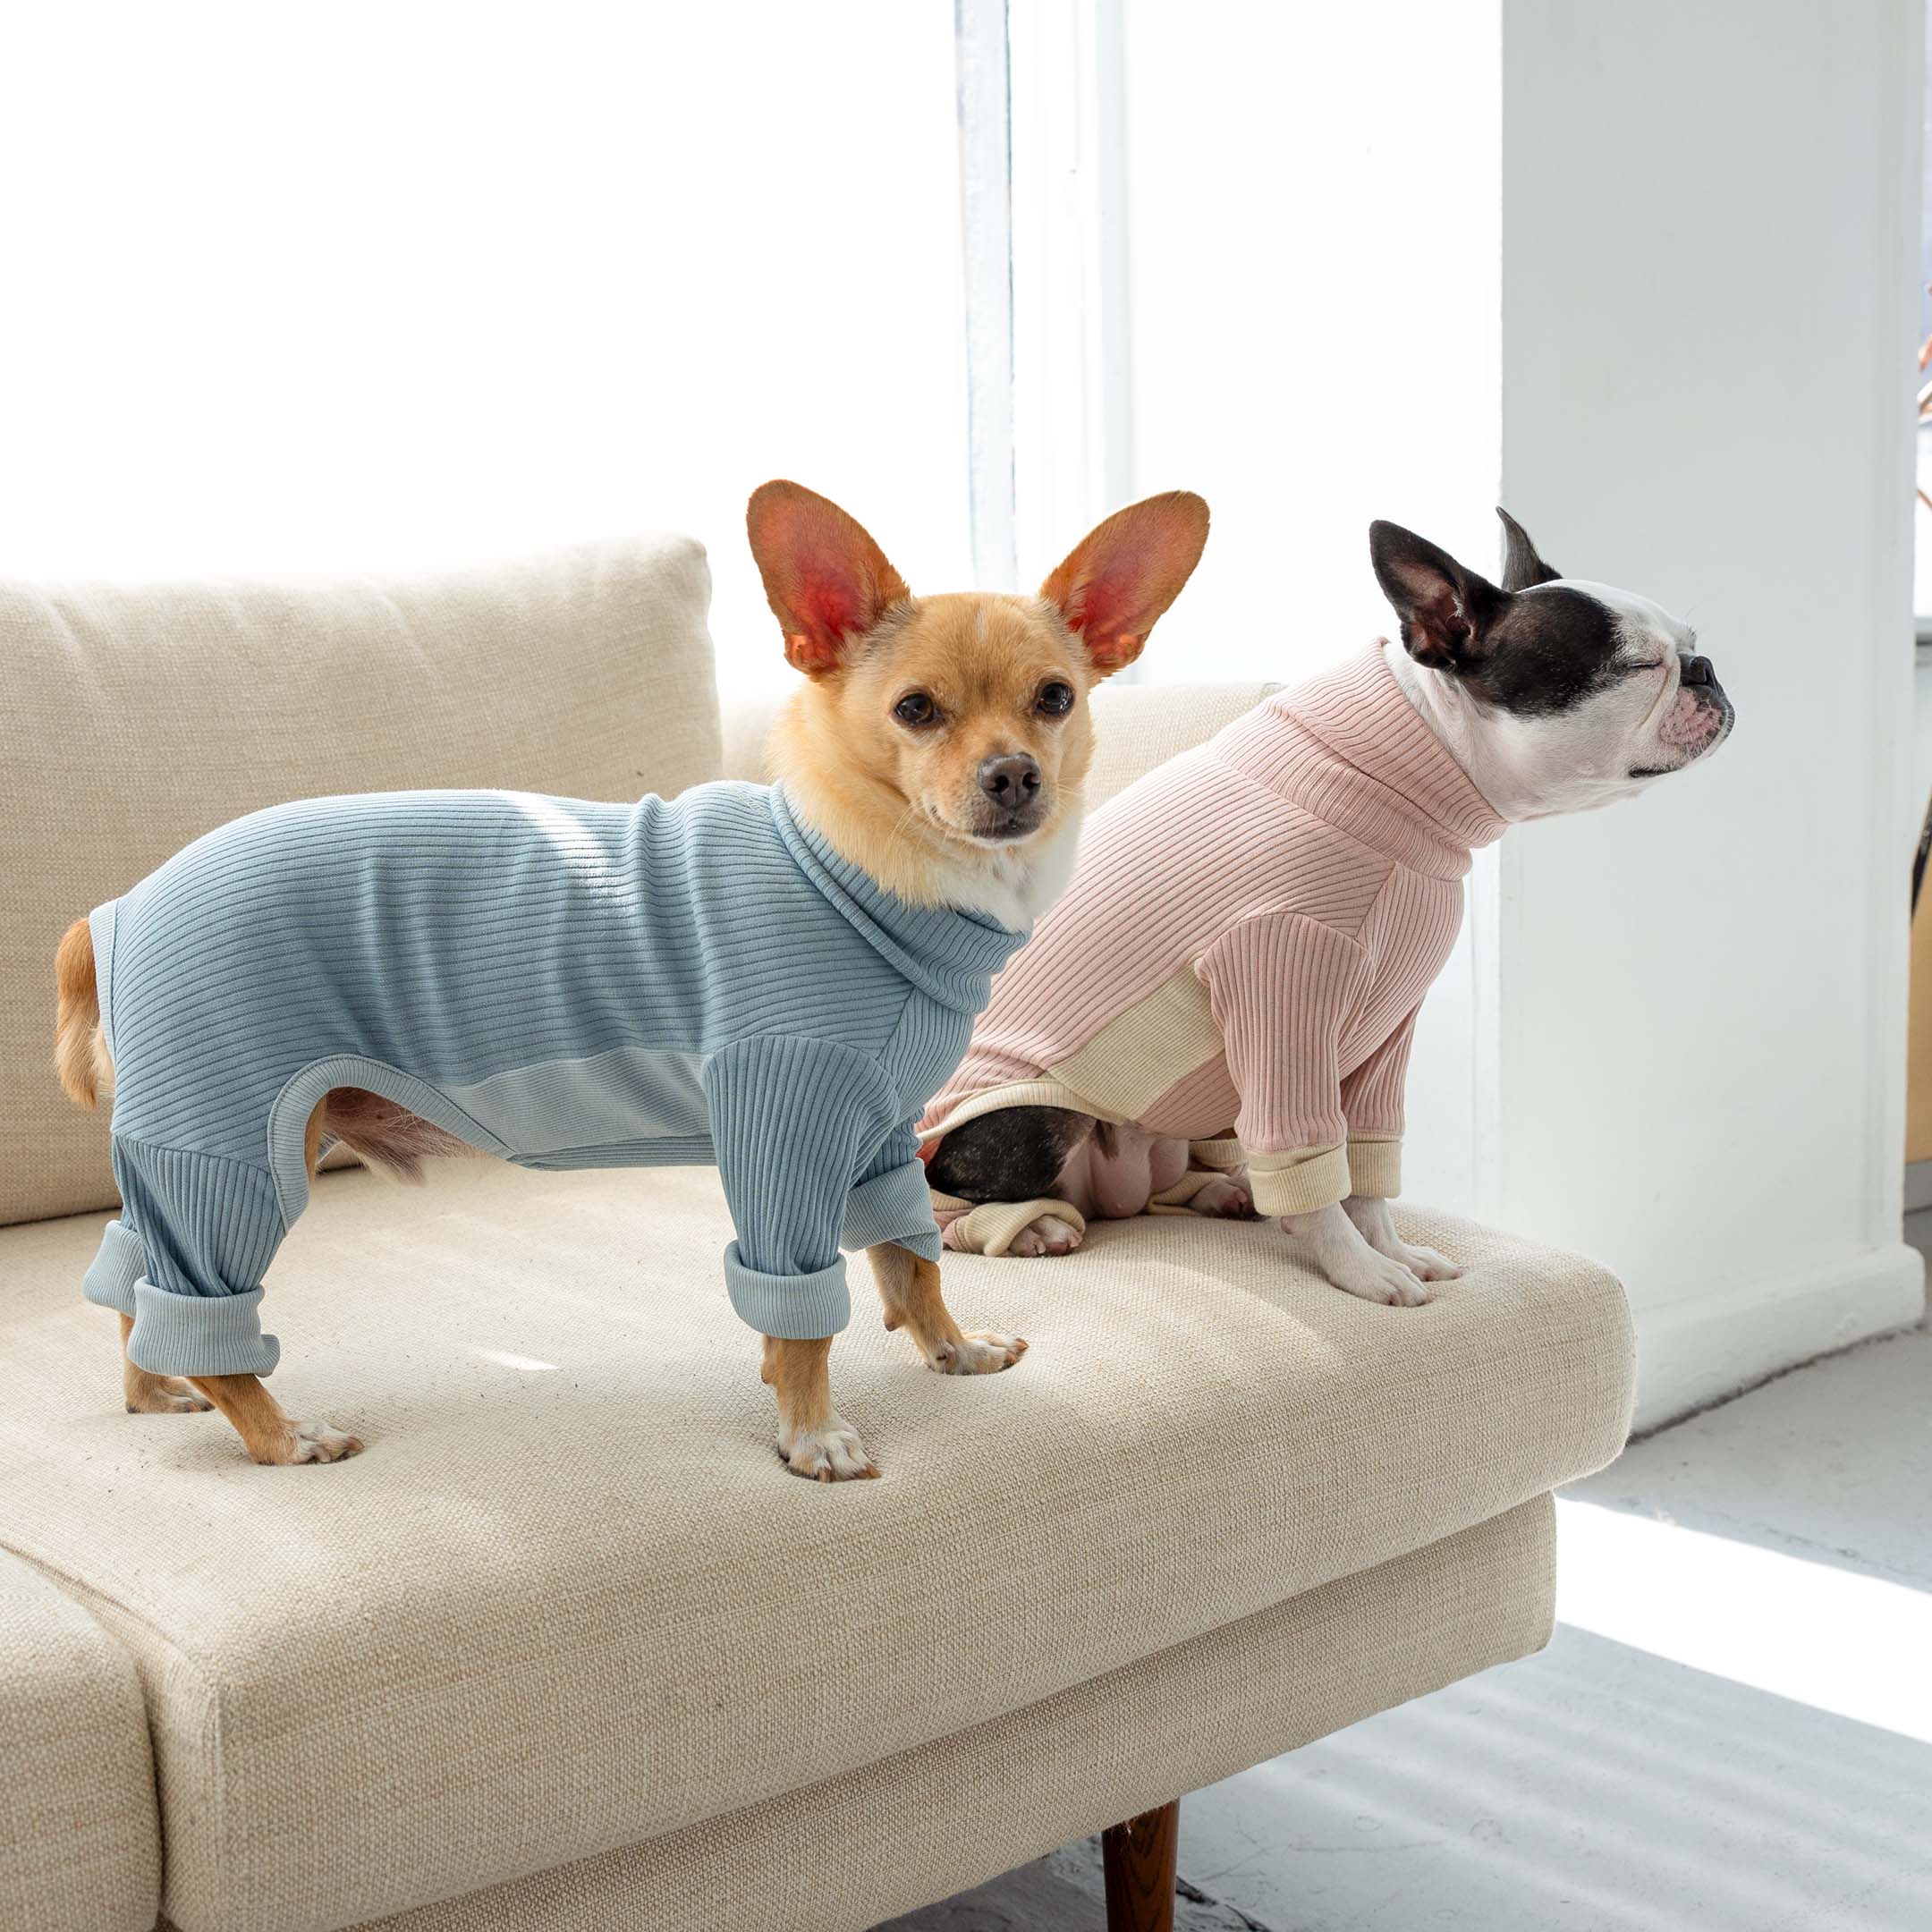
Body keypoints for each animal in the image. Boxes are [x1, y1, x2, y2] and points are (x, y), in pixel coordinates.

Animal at [48, 483, 1205, 1476]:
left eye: (1054, 698)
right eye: (916, 711)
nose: (1015, 776)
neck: (856, 873)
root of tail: (117, 912)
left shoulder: (880, 1138)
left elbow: (909, 1260)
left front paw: (950, 1351)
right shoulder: (781, 1133)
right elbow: (802, 1310)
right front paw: (813, 1435)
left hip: (183, 1149)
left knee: (135, 1276)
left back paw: (153, 1396)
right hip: (232, 1147)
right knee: (199, 1307)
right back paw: (276, 1434)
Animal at [919, 505, 1739, 1306]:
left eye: (1692, 646)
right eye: (1637, 666)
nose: (1706, 671)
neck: (1424, 766)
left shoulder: (1386, 1026)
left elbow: (1368, 1166)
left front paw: (1391, 1250)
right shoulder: (1280, 988)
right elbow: (1311, 1164)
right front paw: (1359, 1271)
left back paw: (1218, 1190)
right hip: (1037, 1116)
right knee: (948, 1203)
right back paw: (1029, 1226)